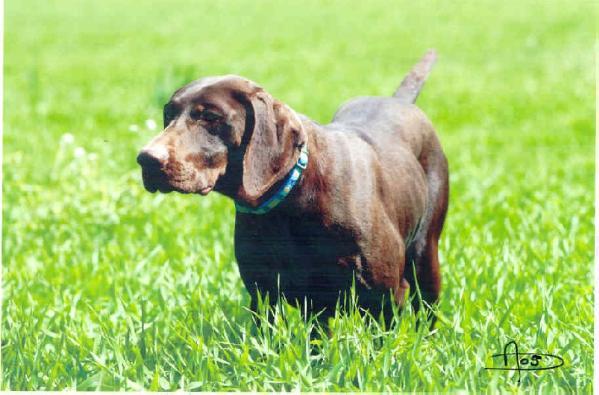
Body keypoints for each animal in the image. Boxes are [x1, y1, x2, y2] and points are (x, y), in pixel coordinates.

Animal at [138, 51, 448, 326]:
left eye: (211, 117)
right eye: (168, 114)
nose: (146, 159)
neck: (291, 205)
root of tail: (400, 101)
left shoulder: (385, 298)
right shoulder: (266, 295)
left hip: (425, 259)